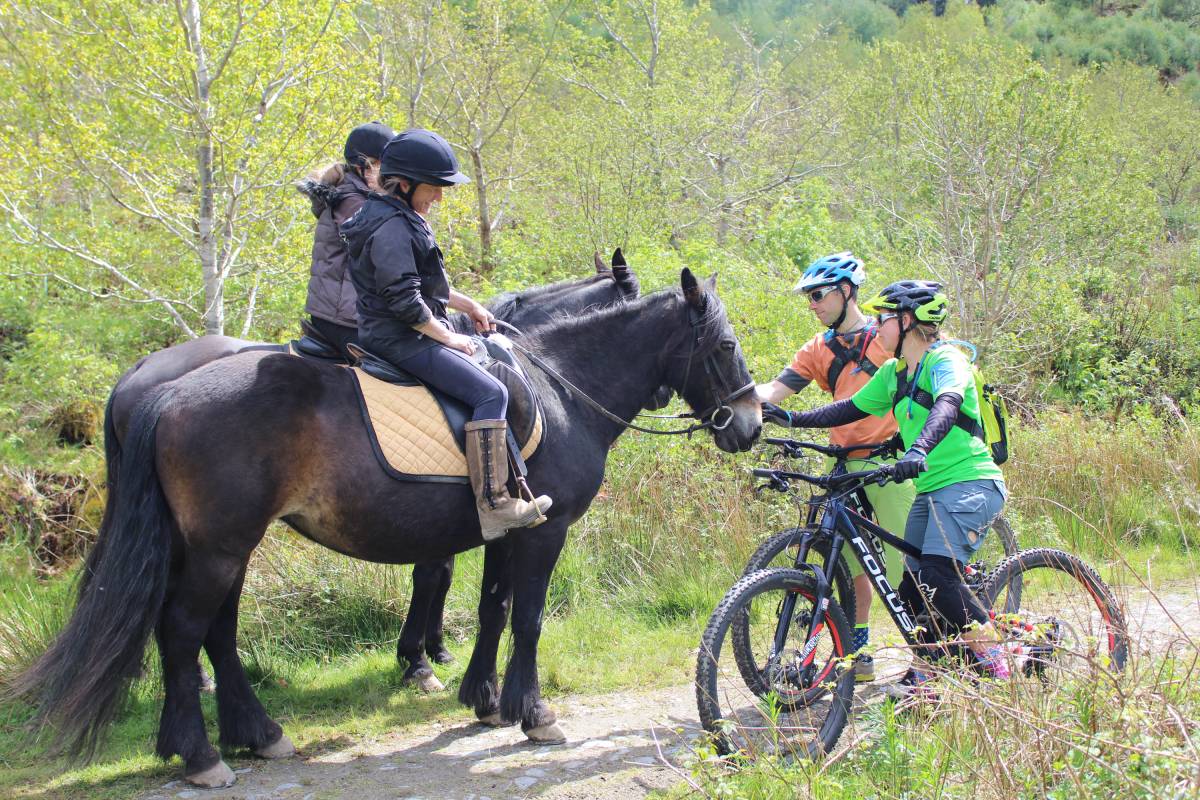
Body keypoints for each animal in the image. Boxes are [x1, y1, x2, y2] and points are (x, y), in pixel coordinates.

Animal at [14, 268, 753, 786]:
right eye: (724, 345)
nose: (748, 424)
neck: (559, 388)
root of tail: (164, 390)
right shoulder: (544, 533)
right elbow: (527, 616)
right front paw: (531, 712)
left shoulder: (507, 529)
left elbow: (492, 608)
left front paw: (485, 698)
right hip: (220, 547)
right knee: (183, 632)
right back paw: (200, 755)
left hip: (221, 548)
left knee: (215, 634)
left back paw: (253, 733)